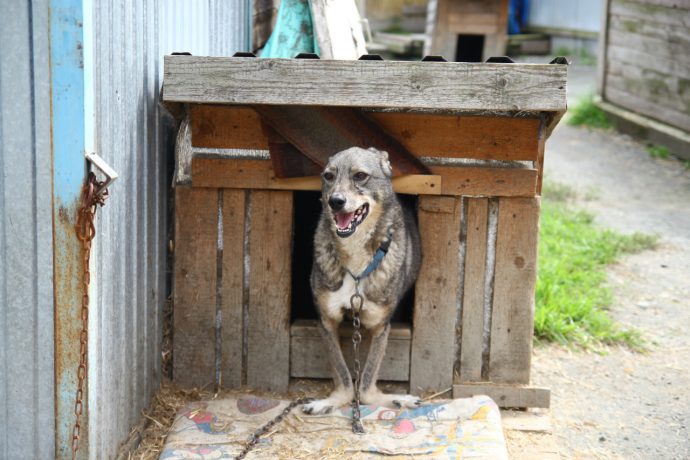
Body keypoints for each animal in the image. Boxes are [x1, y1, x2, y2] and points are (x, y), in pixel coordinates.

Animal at [304, 146, 422, 416]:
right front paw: (330, 401)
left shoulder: (381, 326)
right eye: (328, 176)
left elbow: (366, 381)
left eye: (360, 176)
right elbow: (345, 376)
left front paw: (394, 399)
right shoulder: (326, 321)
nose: (335, 201)